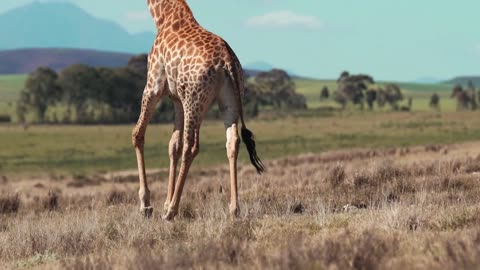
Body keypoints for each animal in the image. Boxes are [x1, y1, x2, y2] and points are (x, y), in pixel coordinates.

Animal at [133, 0, 264, 220]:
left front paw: (147, 206)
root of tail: (227, 61)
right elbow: (173, 146)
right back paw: (234, 209)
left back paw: (172, 211)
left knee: (191, 146)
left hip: (194, 100)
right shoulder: (177, 99)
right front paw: (163, 202)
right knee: (232, 142)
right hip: (229, 101)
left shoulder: (153, 86)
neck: (163, 16)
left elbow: (138, 134)